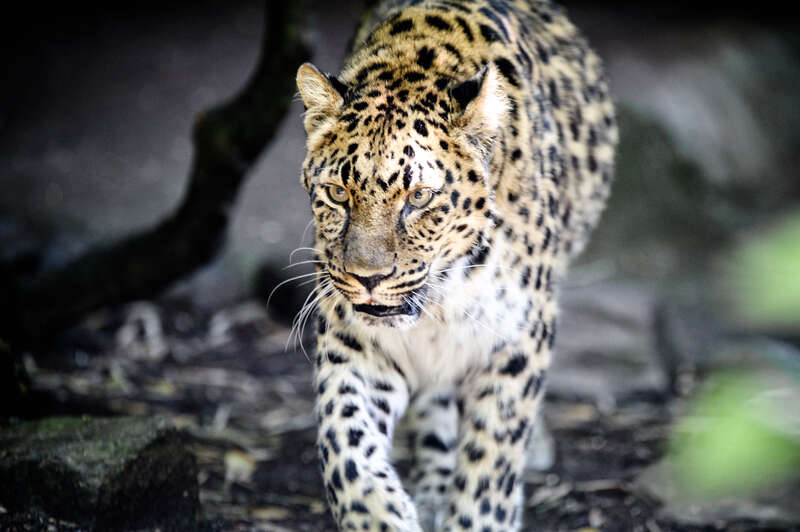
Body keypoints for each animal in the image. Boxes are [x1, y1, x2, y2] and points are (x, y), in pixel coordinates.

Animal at [294, 0, 617, 530]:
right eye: (338, 193)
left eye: (419, 197)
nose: (367, 278)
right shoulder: (355, 341)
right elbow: (346, 446)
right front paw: (384, 517)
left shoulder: (518, 335)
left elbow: (493, 456)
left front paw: (480, 517)